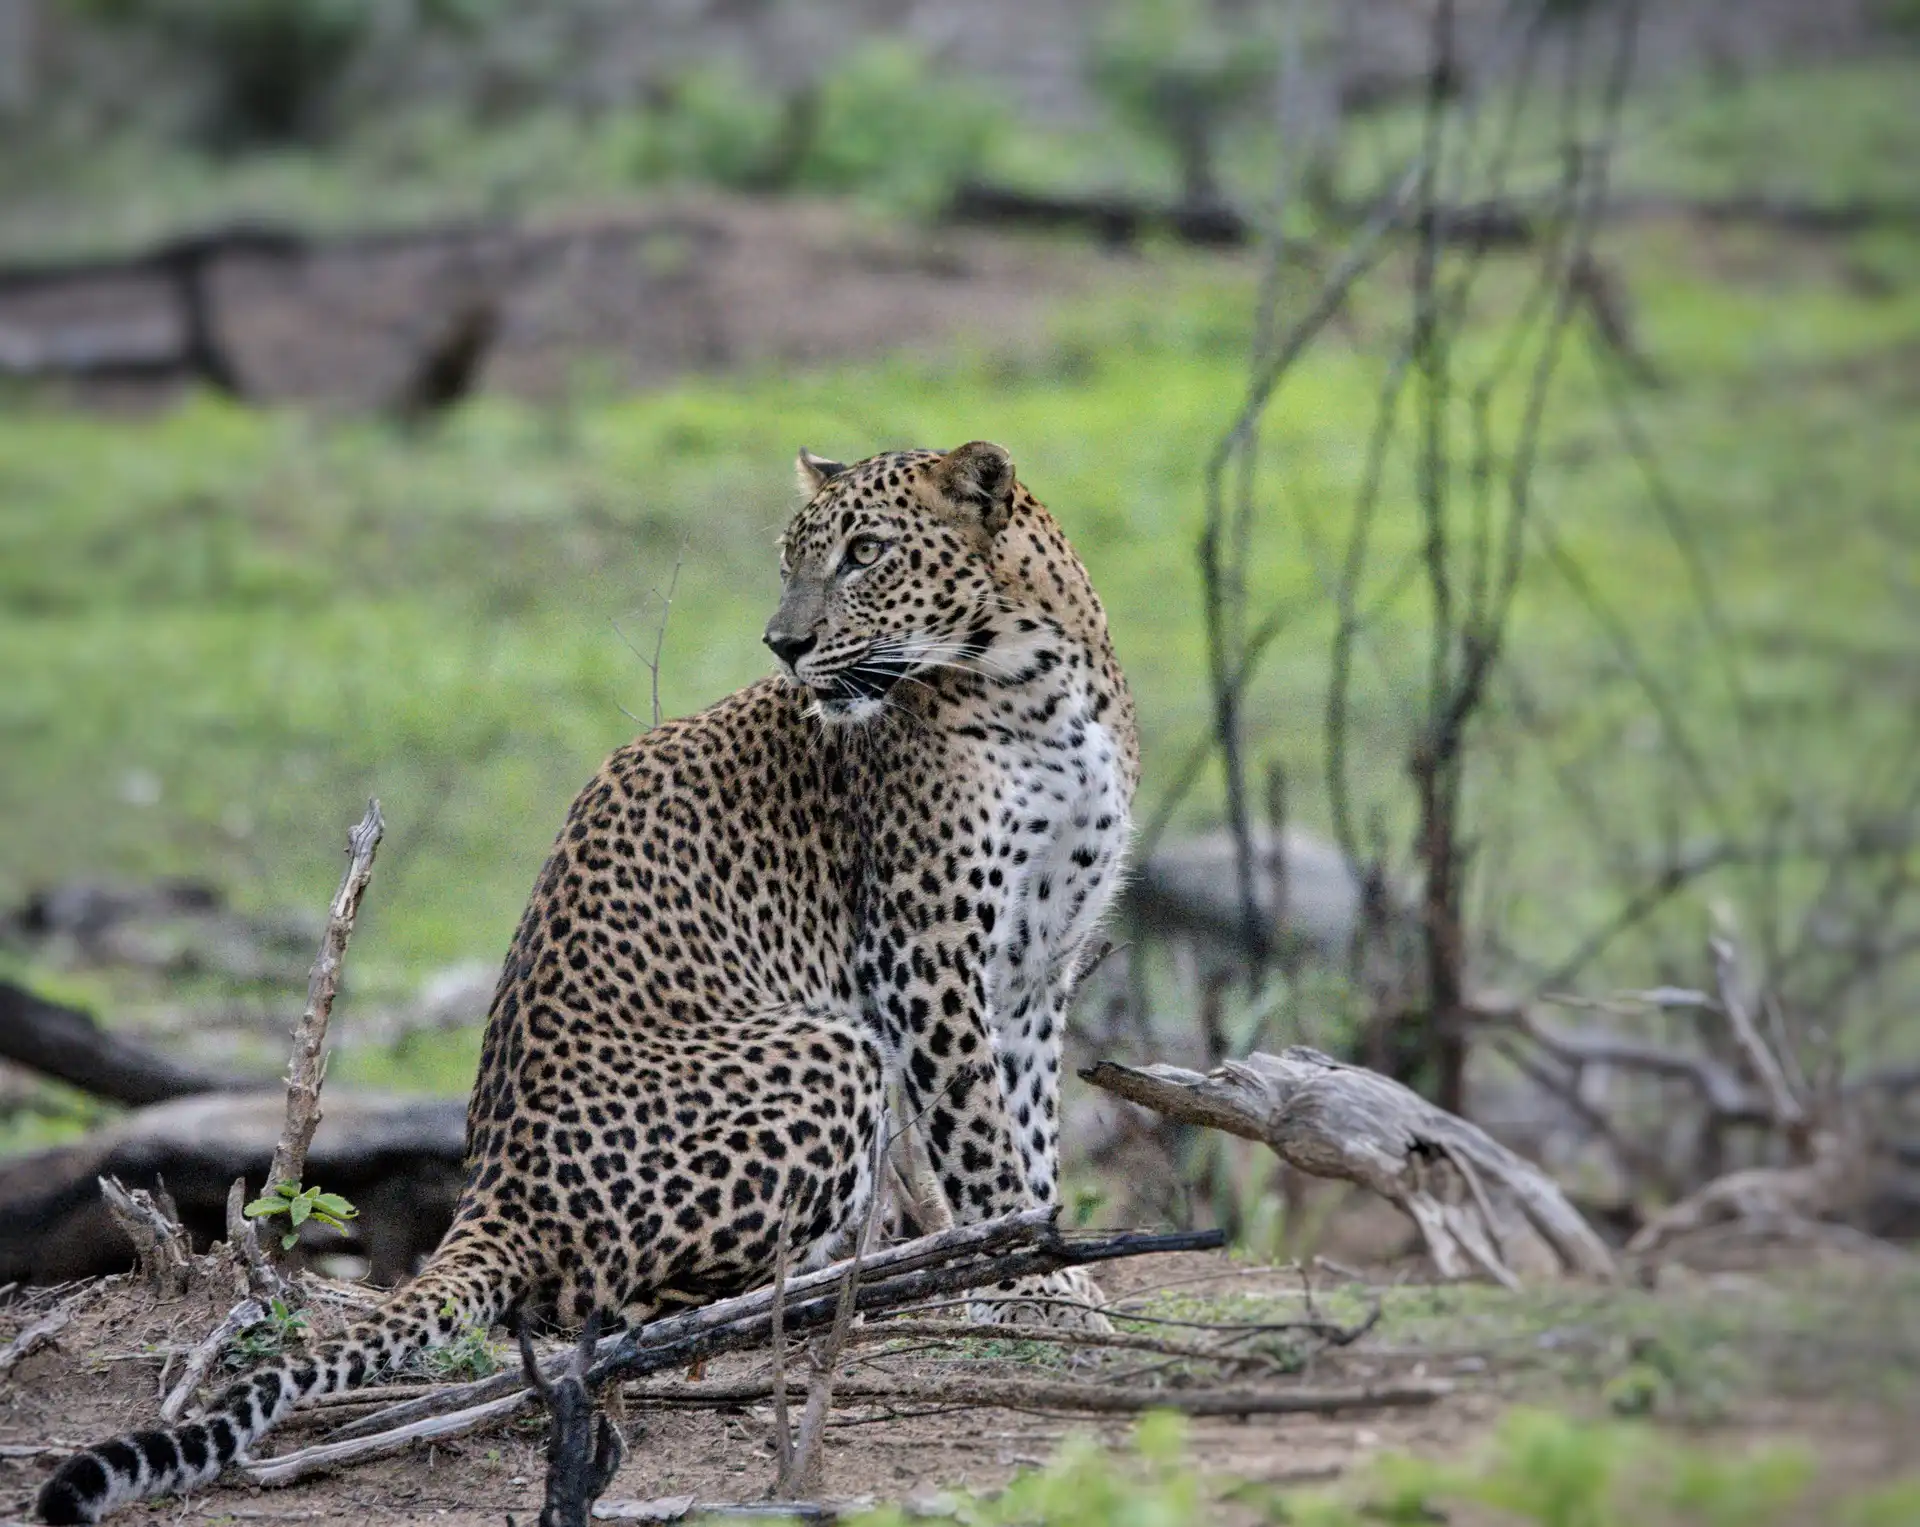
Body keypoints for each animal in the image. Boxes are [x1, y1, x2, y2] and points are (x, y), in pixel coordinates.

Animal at [37, 440, 1138, 1524]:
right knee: (592, 1301)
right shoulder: (923, 949)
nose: (783, 644)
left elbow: (1028, 1128)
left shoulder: (1037, 966)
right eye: (792, 558)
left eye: (865, 553)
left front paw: (1050, 1266)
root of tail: (492, 1188)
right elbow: (981, 1134)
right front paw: (1030, 1290)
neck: (1037, 688)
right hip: (831, 1048)